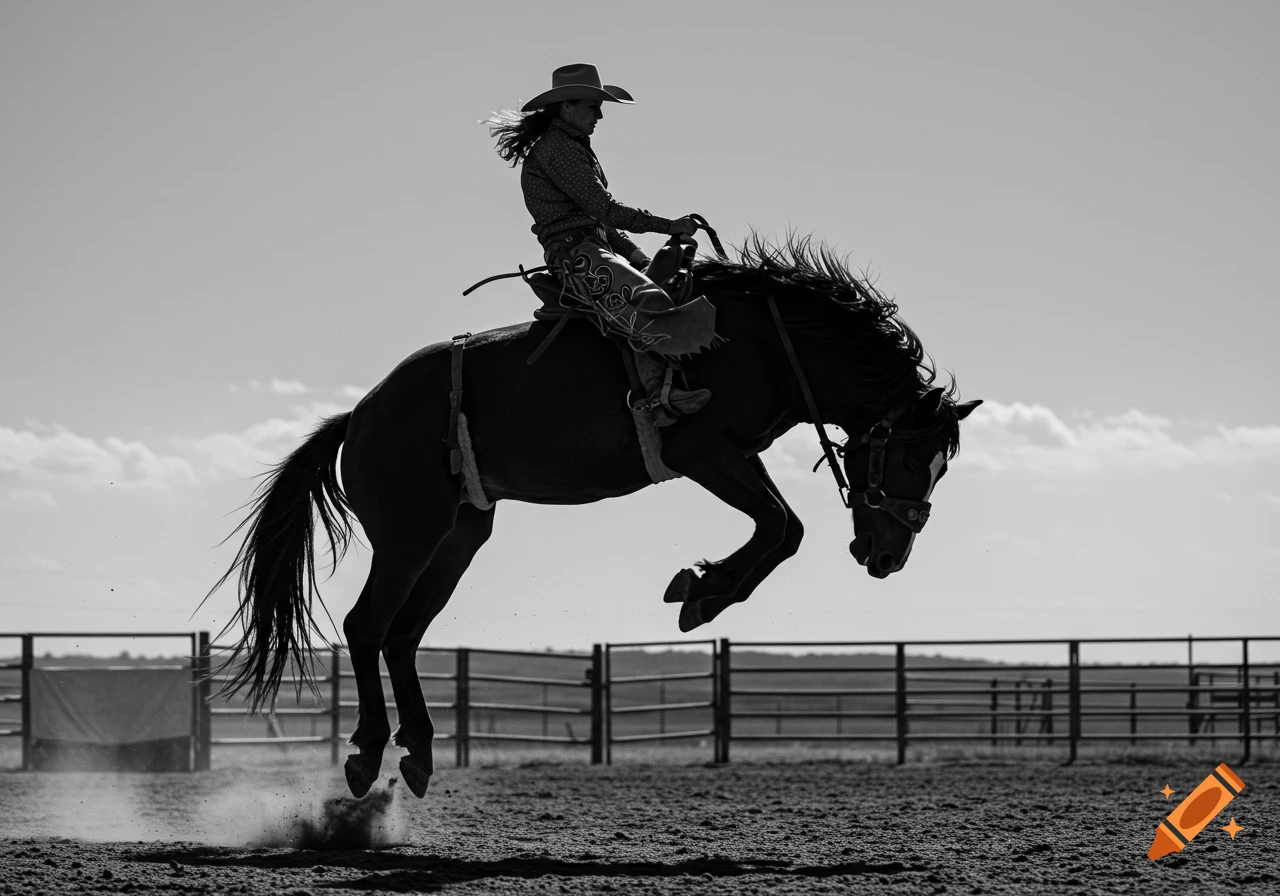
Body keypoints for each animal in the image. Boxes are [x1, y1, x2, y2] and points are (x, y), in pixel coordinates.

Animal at [205, 233, 981, 800]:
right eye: (911, 457)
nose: (890, 555)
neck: (766, 340)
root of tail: (361, 415)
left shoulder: (729, 453)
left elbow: (780, 527)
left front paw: (702, 588)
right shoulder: (704, 448)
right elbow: (784, 526)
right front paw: (702, 594)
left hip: (459, 534)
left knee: (402, 635)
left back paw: (419, 753)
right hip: (409, 533)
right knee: (368, 625)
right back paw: (368, 754)